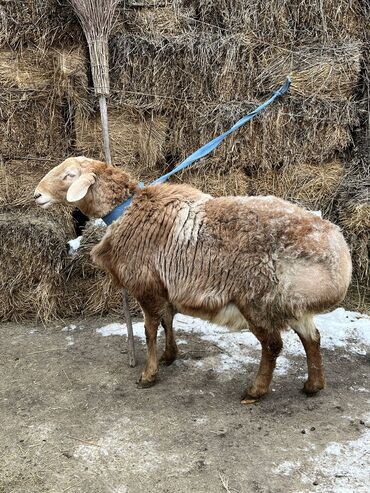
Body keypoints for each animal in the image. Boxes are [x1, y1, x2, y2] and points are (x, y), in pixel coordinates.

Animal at [35, 157, 352, 400]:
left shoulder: (146, 285)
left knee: (273, 345)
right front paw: (169, 356)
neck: (127, 211)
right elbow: (167, 320)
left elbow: (150, 329)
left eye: (69, 175)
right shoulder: (164, 286)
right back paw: (313, 385)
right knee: (312, 338)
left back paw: (255, 390)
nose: (37, 195)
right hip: (290, 301)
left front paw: (148, 374)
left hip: (258, 299)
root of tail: (338, 253)